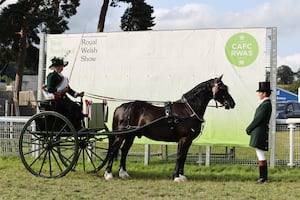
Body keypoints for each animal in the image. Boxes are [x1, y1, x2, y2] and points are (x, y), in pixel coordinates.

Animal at [104, 74, 236, 181]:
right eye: (223, 88)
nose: (232, 103)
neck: (187, 111)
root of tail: (121, 107)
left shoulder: (186, 140)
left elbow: (183, 157)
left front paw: (181, 175)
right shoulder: (184, 138)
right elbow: (179, 156)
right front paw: (176, 177)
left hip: (130, 136)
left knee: (124, 151)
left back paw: (123, 173)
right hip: (121, 135)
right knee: (114, 149)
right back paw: (108, 174)